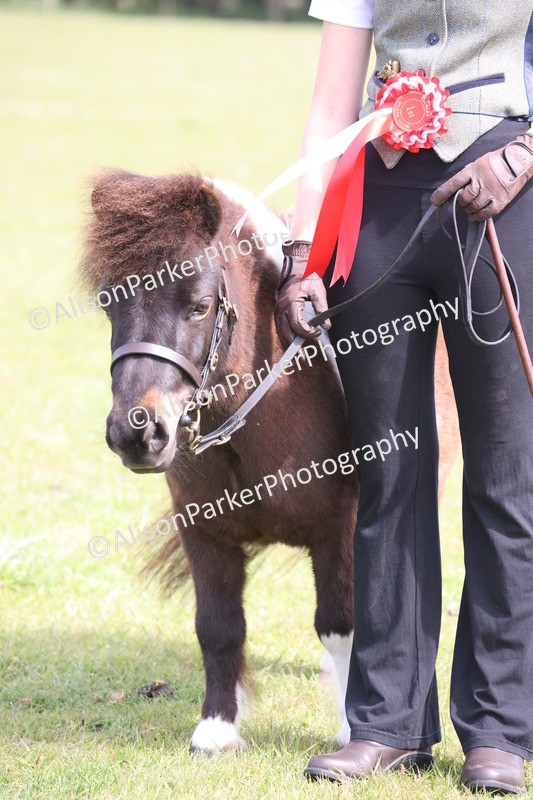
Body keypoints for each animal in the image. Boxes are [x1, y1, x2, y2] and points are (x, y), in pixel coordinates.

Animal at [81, 168, 460, 754]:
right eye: (108, 303)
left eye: (199, 304)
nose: (136, 433)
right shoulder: (202, 531)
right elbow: (218, 626)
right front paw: (217, 729)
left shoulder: (342, 529)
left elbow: (341, 624)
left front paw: (353, 729)